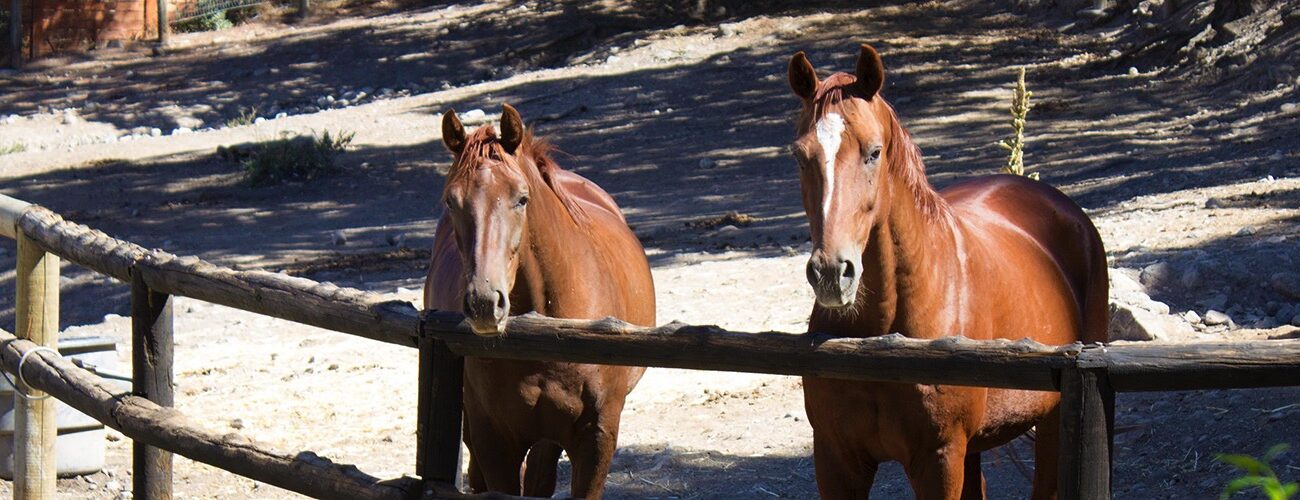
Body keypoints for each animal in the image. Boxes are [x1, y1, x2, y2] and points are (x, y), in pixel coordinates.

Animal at [786, 45, 1109, 499]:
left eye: (874, 152)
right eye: (800, 156)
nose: (833, 272)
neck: (881, 336)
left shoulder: (938, 460)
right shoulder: (836, 460)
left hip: (1052, 423)